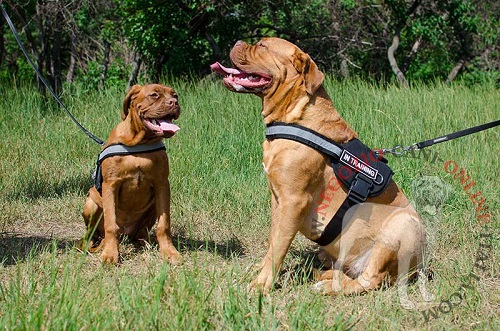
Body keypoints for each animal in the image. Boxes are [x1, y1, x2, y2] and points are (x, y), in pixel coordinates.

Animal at [81, 84, 183, 266]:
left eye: (175, 95)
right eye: (154, 95)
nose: (174, 103)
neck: (140, 143)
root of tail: (126, 233)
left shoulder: (162, 185)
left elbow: (164, 225)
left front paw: (169, 252)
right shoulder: (110, 185)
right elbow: (111, 225)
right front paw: (110, 254)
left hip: (153, 205)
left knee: (141, 232)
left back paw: (145, 243)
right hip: (90, 203)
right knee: (95, 233)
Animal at [210, 37, 430, 306]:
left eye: (262, 45)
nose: (238, 42)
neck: (296, 115)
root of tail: (418, 268)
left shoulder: (293, 201)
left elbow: (278, 248)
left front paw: (261, 285)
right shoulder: (277, 200)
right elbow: (273, 241)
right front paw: (261, 271)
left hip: (403, 227)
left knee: (369, 280)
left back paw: (328, 287)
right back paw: (322, 275)